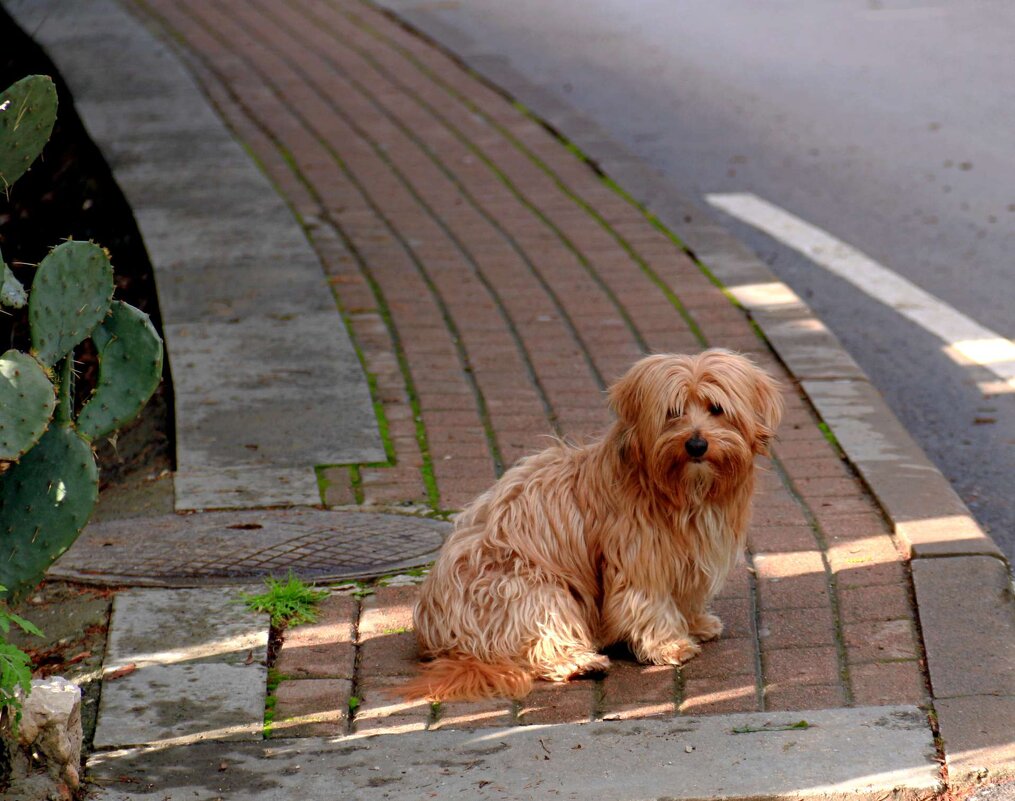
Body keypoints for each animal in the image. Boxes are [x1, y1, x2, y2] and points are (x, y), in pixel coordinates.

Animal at [399, 349, 779, 698]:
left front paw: (696, 623)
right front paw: (670, 643)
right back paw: (581, 663)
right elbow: (647, 603)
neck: (678, 490)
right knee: (543, 640)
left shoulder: (687, 558)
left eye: (716, 409)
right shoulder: (639, 559)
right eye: (674, 412)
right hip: (531, 590)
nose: (697, 444)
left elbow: (685, 595)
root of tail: (442, 637)